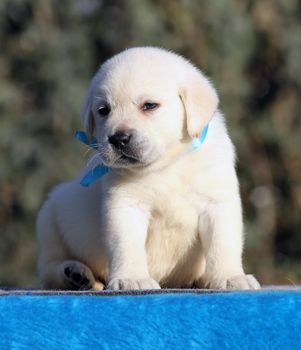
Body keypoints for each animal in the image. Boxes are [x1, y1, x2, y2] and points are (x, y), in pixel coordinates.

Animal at [37, 47, 258, 292]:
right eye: (103, 110)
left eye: (149, 105)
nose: (118, 139)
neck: (167, 164)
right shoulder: (125, 206)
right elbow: (127, 244)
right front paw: (132, 278)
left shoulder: (217, 202)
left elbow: (223, 244)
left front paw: (229, 277)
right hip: (50, 220)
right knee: (49, 268)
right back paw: (75, 274)